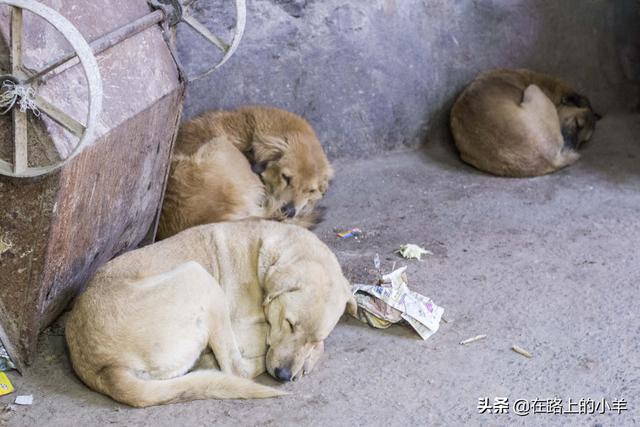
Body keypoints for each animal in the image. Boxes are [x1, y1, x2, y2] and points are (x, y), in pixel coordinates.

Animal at [66, 221, 356, 408]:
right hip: (198, 277)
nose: (283, 375)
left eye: (314, 337)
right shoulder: (245, 328)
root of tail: (104, 368)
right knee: (236, 369)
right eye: (290, 324)